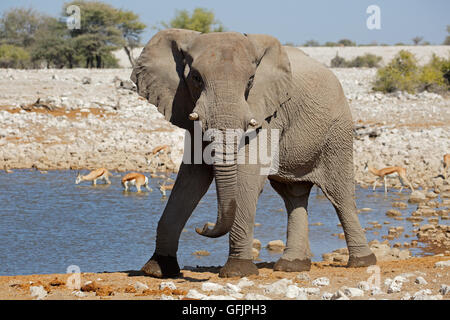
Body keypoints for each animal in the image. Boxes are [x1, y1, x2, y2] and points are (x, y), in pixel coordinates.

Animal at [131, 28, 376, 278]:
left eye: (250, 81)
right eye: (196, 78)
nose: (203, 226)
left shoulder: (268, 113)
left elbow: (246, 174)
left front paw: (237, 271)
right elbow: (191, 177)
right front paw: (157, 269)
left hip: (337, 132)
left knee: (340, 194)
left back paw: (362, 261)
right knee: (294, 196)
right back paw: (292, 266)